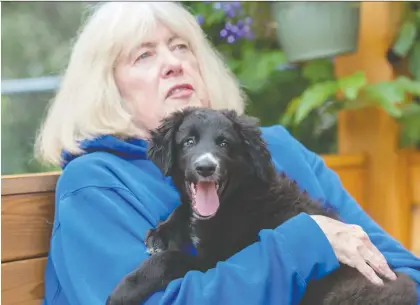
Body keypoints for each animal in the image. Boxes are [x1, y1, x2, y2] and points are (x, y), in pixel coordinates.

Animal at [107, 107, 416, 304]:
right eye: (189, 142)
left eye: (224, 143)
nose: (206, 167)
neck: (235, 198)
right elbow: (183, 210)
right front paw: (161, 234)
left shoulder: (213, 263)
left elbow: (170, 259)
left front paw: (125, 289)